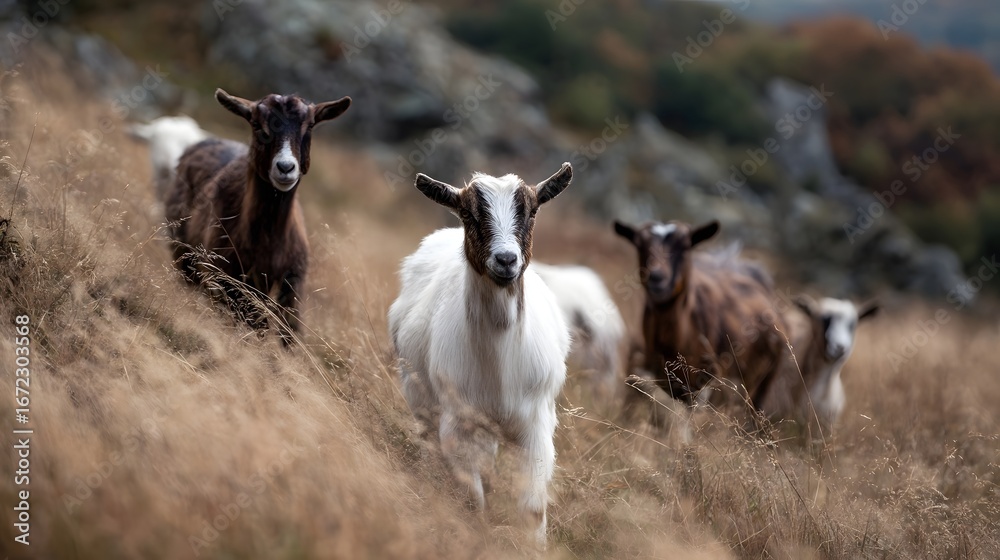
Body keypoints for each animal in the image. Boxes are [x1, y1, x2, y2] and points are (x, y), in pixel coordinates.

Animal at [165, 89, 351, 343]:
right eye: (255, 123)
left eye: (311, 124)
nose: (285, 168)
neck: (268, 247)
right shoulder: (226, 280)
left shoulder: (292, 285)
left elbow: (286, 333)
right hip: (184, 256)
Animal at [388, 163, 573, 548]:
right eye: (469, 214)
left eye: (532, 211)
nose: (506, 260)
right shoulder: (459, 422)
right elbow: (471, 499)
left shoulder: (536, 423)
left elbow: (532, 509)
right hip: (422, 397)